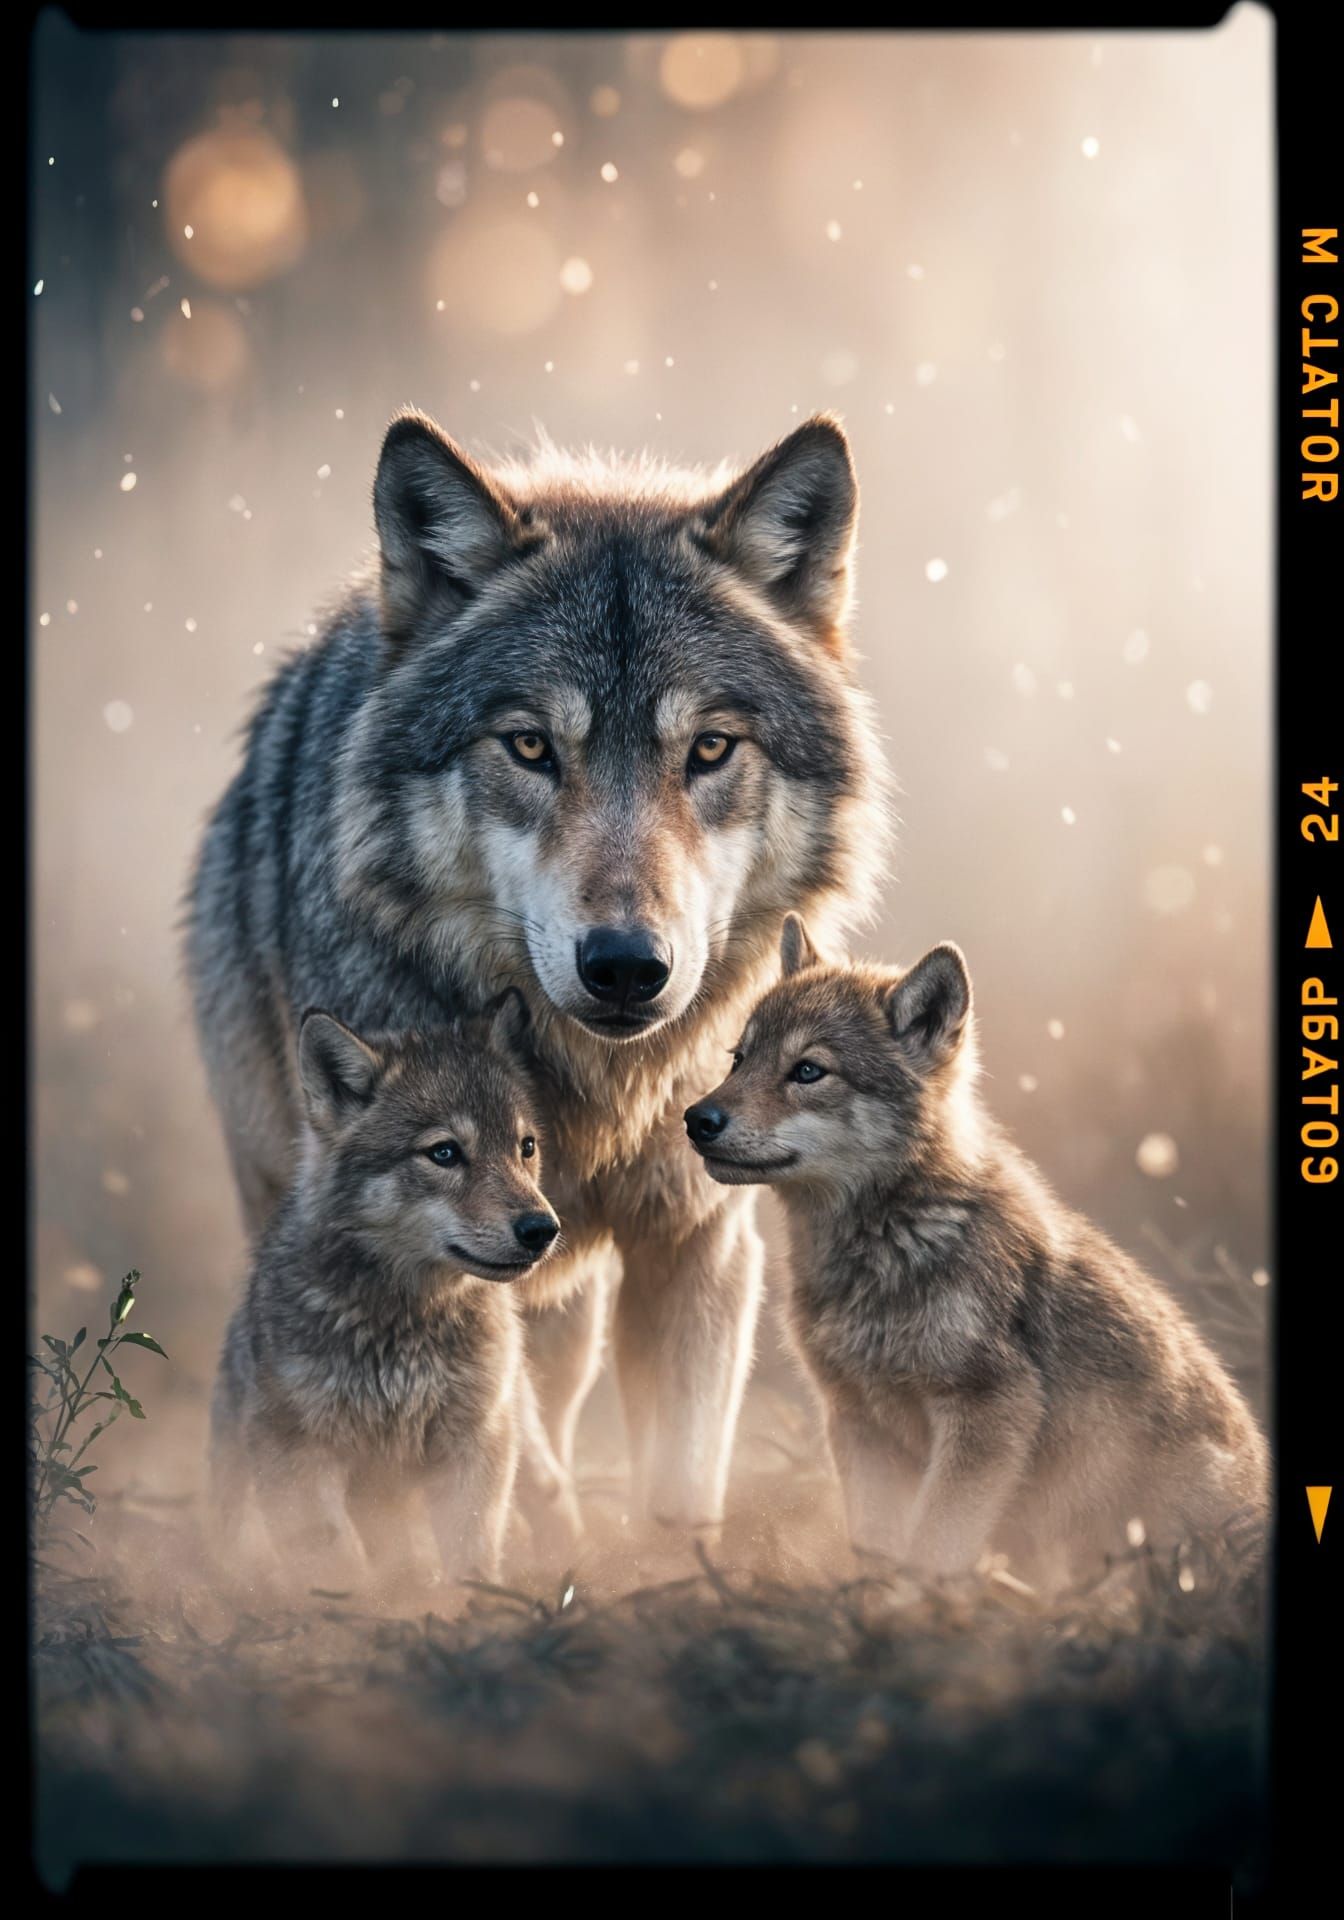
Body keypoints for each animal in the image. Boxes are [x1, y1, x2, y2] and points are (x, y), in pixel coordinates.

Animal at [210, 993, 563, 1590]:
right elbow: (336, 1558)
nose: (542, 1229)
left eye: (526, 1147)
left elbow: (470, 1555)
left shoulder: (475, 1442)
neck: (405, 1324)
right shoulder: (298, 1449)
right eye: (444, 1153)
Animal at [684, 916, 1269, 1588]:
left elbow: (932, 1548)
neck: (888, 1246)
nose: (696, 1118)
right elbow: (879, 1549)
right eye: (739, 1058)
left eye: (808, 1071)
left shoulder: (987, 1413)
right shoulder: (855, 1420)